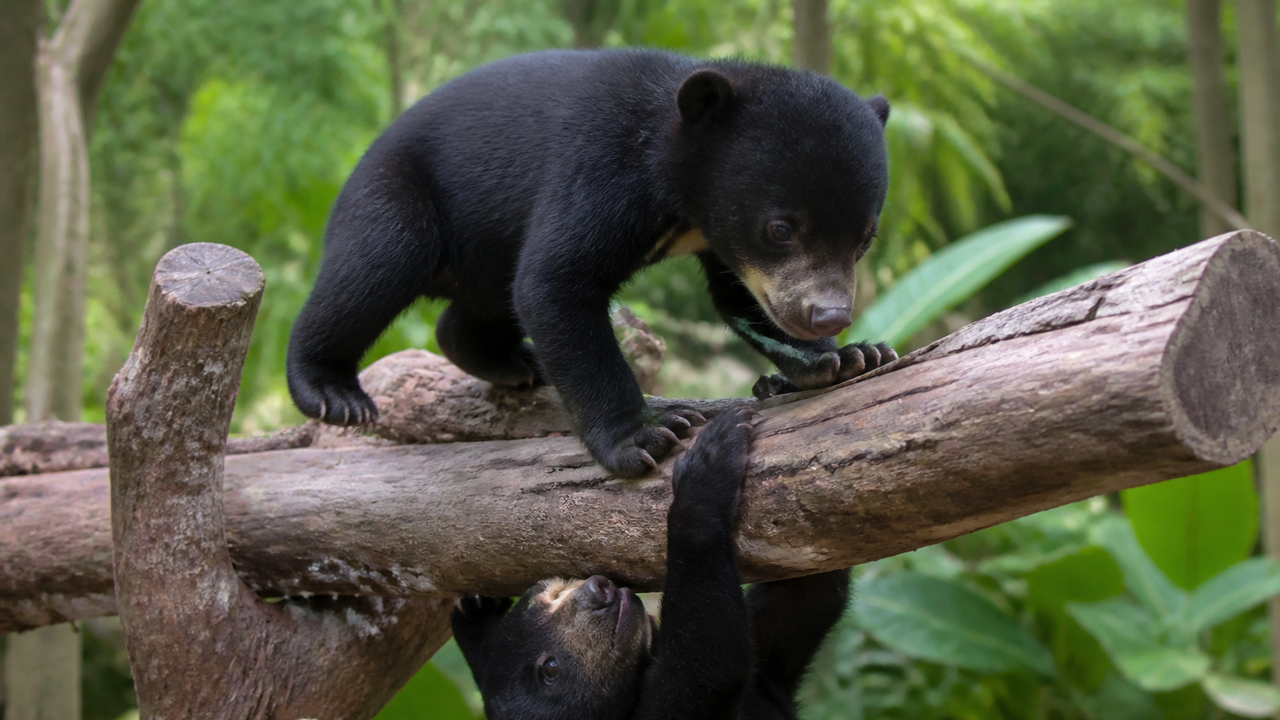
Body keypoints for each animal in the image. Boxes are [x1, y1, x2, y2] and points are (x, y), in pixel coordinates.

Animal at [286, 49, 895, 478]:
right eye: (780, 228)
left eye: (865, 238)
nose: (830, 316)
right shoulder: (602, 165)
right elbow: (554, 282)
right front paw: (648, 436)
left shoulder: (724, 244)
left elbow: (740, 295)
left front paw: (846, 358)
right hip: (397, 191)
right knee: (375, 266)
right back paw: (334, 393)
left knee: (476, 308)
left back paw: (513, 361)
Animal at [450, 405, 851, 719]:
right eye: (549, 669)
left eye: (551, 592)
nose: (598, 590)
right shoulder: (672, 709)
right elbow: (709, 666)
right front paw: (709, 461)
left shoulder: (765, 679)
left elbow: (805, 602)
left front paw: (476, 611)